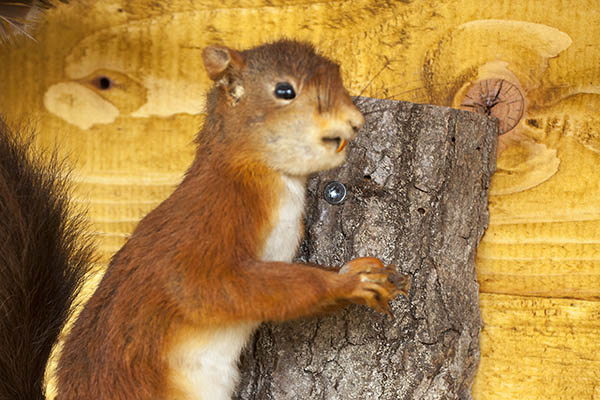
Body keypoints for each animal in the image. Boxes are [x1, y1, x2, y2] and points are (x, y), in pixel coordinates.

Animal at [0, 11, 408, 396]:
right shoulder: (214, 218)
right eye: (284, 90)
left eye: (338, 74)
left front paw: (362, 271)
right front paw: (347, 283)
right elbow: (213, 287)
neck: (261, 173)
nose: (355, 121)